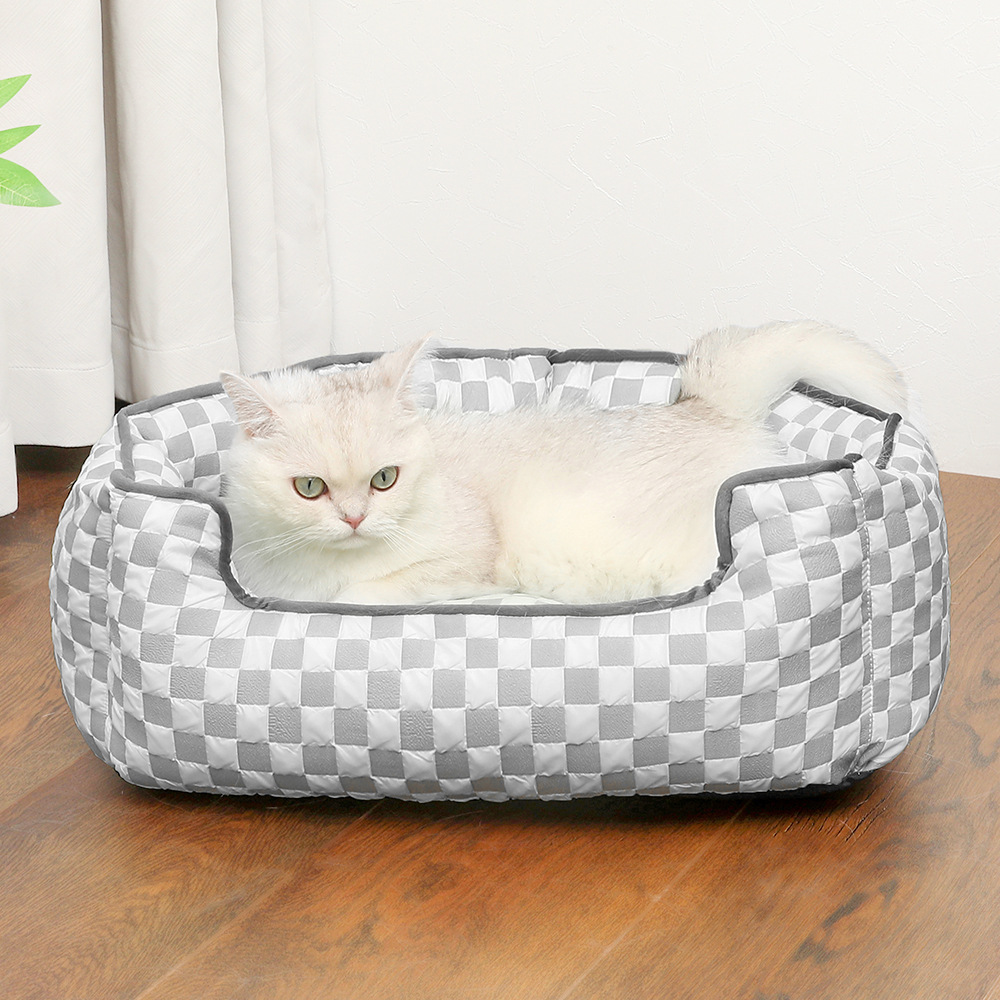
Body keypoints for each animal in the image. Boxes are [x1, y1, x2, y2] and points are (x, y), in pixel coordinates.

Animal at [220, 321, 907, 605]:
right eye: (309, 487)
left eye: (384, 480)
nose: (355, 519)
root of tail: (700, 405)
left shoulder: (465, 564)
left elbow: (366, 592)